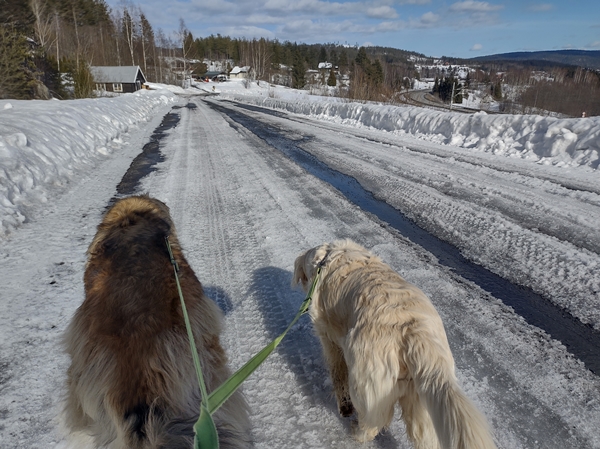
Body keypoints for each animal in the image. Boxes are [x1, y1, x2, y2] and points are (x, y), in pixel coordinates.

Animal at [292, 240, 496, 446]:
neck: (328, 256)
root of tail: (413, 331)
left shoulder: (329, 337)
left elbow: (337, 373)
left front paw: (343, 405)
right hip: (422, 401)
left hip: (367, 385)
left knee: (372, 423)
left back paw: (356, 431)